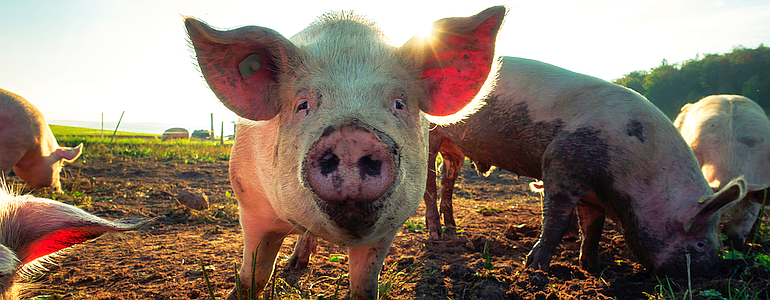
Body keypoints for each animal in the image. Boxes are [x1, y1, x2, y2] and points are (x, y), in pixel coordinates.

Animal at [184, 7, 508, 300]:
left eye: (399, 104)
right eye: (302, 104)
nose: (351, 137)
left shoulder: (389, 226)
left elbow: (364, 285)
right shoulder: (250, 203)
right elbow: (254, 276)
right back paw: (294, 265)